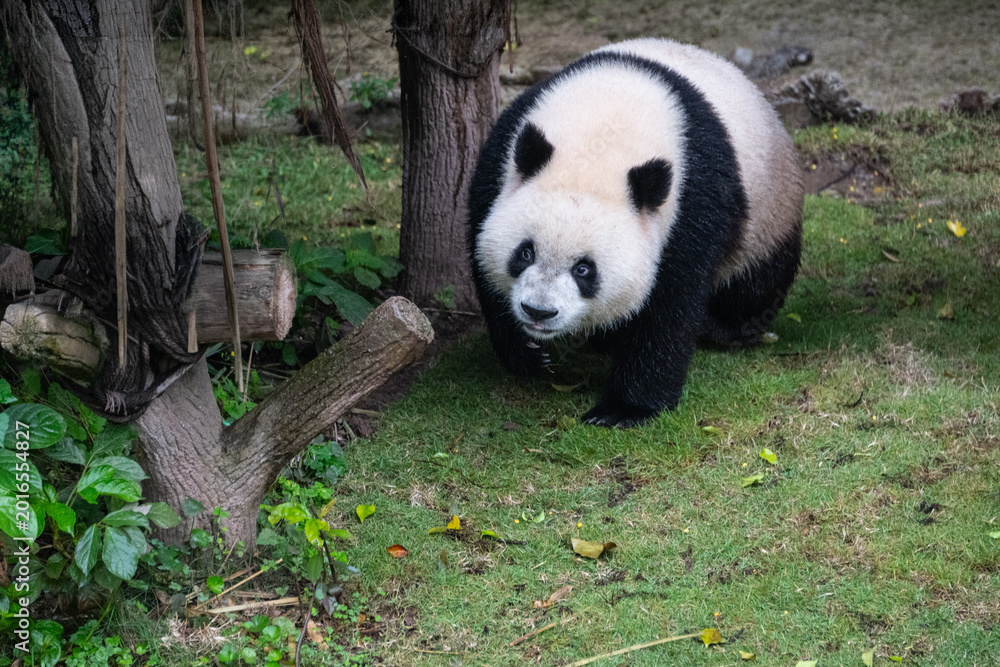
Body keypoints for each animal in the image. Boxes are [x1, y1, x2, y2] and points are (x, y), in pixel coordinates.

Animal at [468, 38, 804, 428]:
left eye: (584, 269)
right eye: (525, 252)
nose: (539, 312)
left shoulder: (694, 200)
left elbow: (671, 303)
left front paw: (623, 409)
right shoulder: (503, 151)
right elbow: (480, 249)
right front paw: (527, 351)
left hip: (769, 216)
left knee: (755, 283)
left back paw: (722, 328)